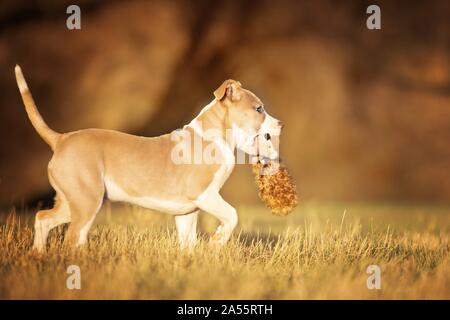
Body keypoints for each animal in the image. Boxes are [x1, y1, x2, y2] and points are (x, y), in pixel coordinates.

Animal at [15, 64, 284, 250]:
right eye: (259, 109)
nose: (281, 123)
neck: (214, 135)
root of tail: (61, 139)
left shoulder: (187, 212)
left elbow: (188, 242)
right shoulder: (205, 194)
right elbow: (232, 214)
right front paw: (217, 241)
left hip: (73, 200)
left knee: (42, 218)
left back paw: (38, 255)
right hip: (86, 200)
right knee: (73, 236)